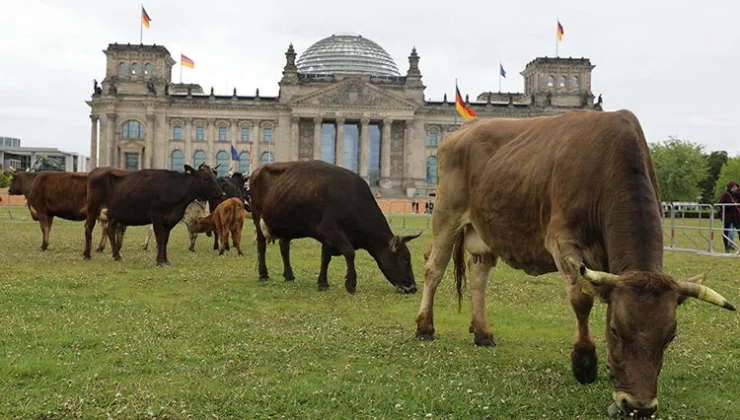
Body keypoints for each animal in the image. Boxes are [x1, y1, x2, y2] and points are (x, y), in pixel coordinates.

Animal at [84, 164, 223, 266]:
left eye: (215, 178)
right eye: (206, 179)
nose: (221, 193)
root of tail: (97, 170)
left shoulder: (171, 219)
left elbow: (165, 240)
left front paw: (165, 260)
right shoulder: (156, 216)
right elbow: (160, 239)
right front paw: (160, 261)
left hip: (113, 213)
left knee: (110, 231)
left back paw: (117, 256)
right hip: (93, 208)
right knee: (88, 228)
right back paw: (87, 255)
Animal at [250, 159, 420, 294]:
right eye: (405, 258)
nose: (413, 288)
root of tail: (258, 170)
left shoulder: (328, 237)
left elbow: (325, 258)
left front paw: (323, 283)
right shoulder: (329, 229)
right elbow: (350, 252)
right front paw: (351, 283)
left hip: (286, 224)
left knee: (284, 248)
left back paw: (289, 275)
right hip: (257, 218)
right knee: (261, 246)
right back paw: (263, 275)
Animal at [416, 110, 736, 418]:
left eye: (670, 336)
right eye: (617, 331)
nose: (639, 406)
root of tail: (461, 131)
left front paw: (611, 368)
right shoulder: (562, 242)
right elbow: (582, 300)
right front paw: (585, 363)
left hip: (484, 231)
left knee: (479, 276)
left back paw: (483, 332)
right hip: (446, 213)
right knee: (434, 270)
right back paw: (425, 327)